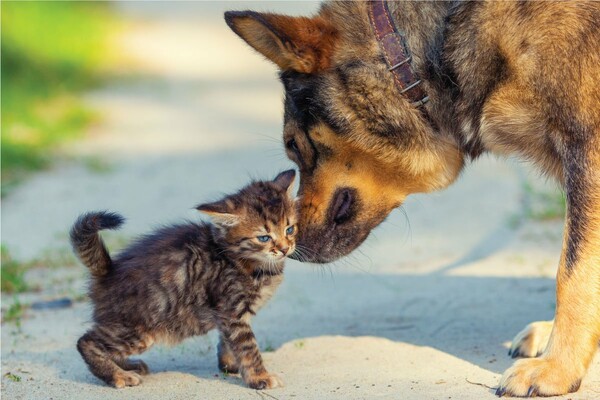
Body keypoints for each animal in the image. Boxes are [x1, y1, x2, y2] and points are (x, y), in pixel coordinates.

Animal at [72, 170, 298, 390]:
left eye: (289, 229)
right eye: (264, 238)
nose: (285, 249)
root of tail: (109, 270)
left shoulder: (227, 315)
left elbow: (227, 341)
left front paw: (230, 365)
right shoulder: (231, 310)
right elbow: (247, 347)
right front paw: (260, 377)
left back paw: (129, 366)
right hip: (138, 329)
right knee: (86, 342)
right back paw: (118, 375)